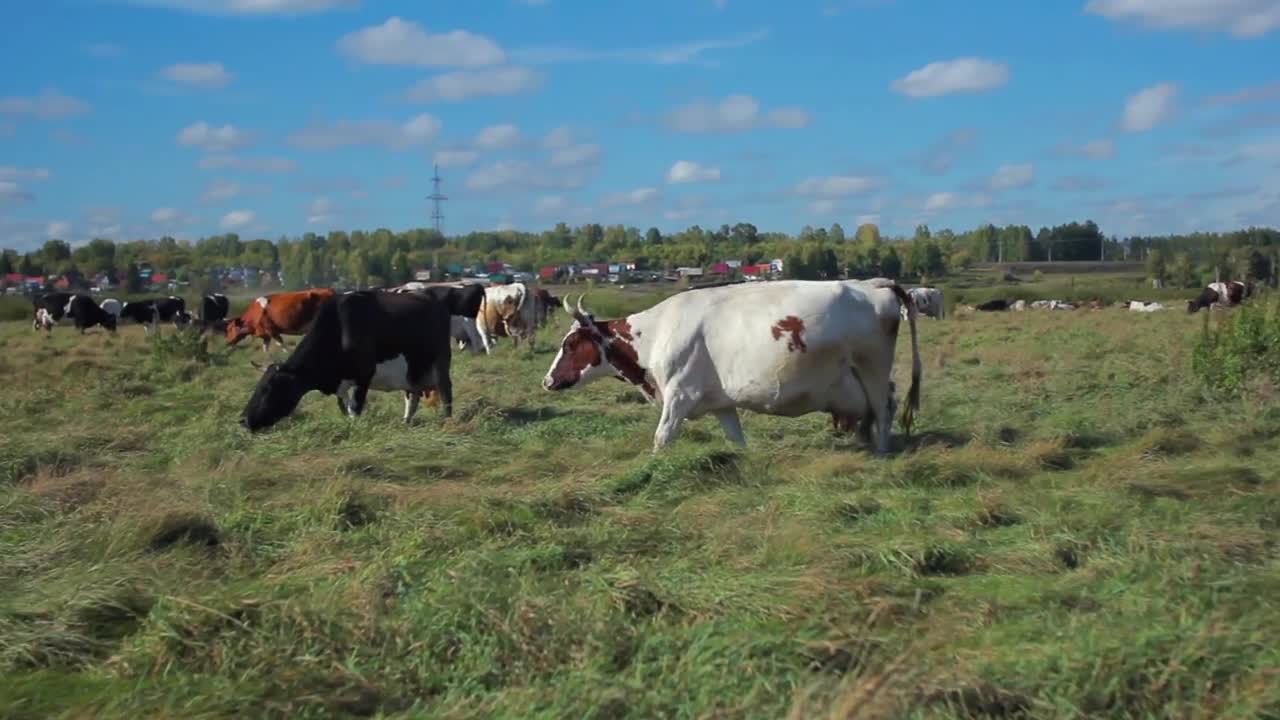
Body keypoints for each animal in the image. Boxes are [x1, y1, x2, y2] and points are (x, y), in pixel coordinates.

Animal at [240, 286, 460, 430]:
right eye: (257, 387)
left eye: (269, 389)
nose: (242, 420)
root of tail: (433, 298)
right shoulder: (341, 383)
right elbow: (344, 409)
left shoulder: (363, 376)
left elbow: (355, 409)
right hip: (412, 370)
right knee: (412, 396)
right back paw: (405, 422)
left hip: (441, 361)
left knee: (446, 393)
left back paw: (447, 423)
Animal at [537, 278, 921, 450]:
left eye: (570, 345)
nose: (547, 381)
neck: (655, 334)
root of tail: (873, 283)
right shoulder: (720, 403)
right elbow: (738, 441)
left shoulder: (679, 395)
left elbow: (661, 439)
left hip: (873, 369)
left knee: (884, 408)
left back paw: (883, 452)